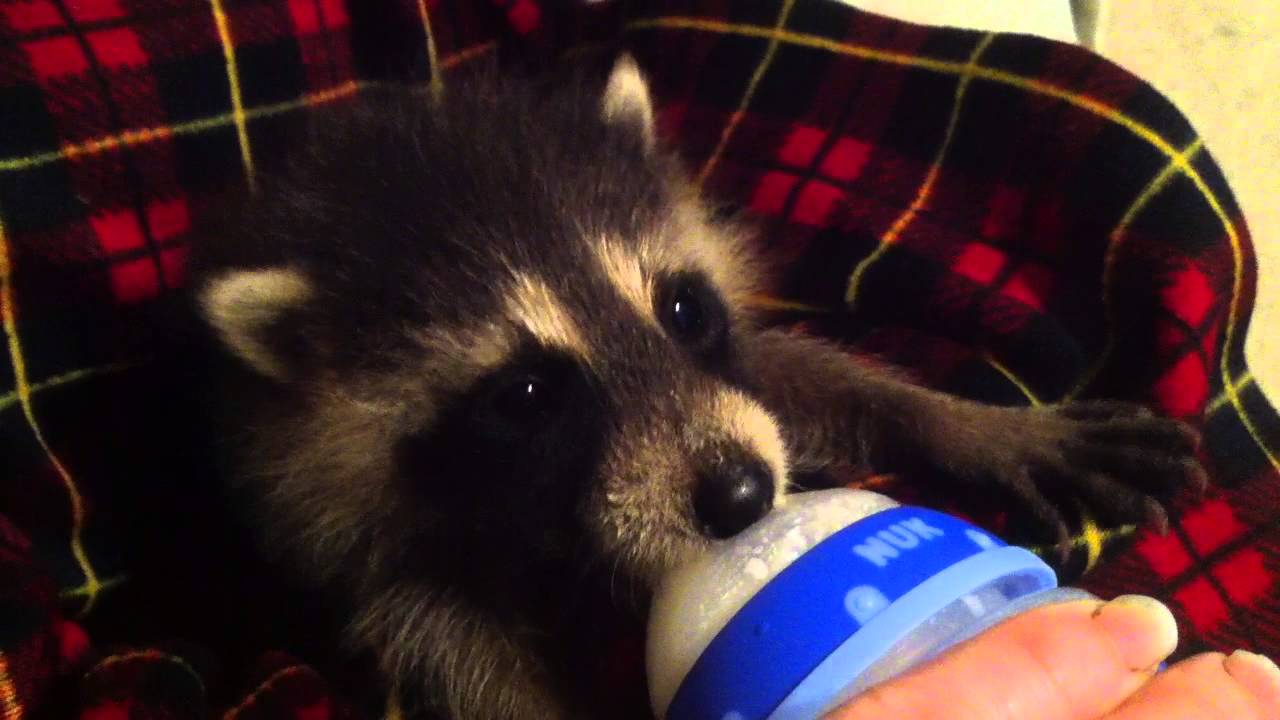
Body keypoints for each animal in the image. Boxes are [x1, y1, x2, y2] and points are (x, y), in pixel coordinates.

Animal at [187, 56, 1205, 719]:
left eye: (681, 309)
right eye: (526, 396)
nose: (743, 497)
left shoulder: (725, 373)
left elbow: (795, 381)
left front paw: (973, 426)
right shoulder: (355, 532)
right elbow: (453, 651)